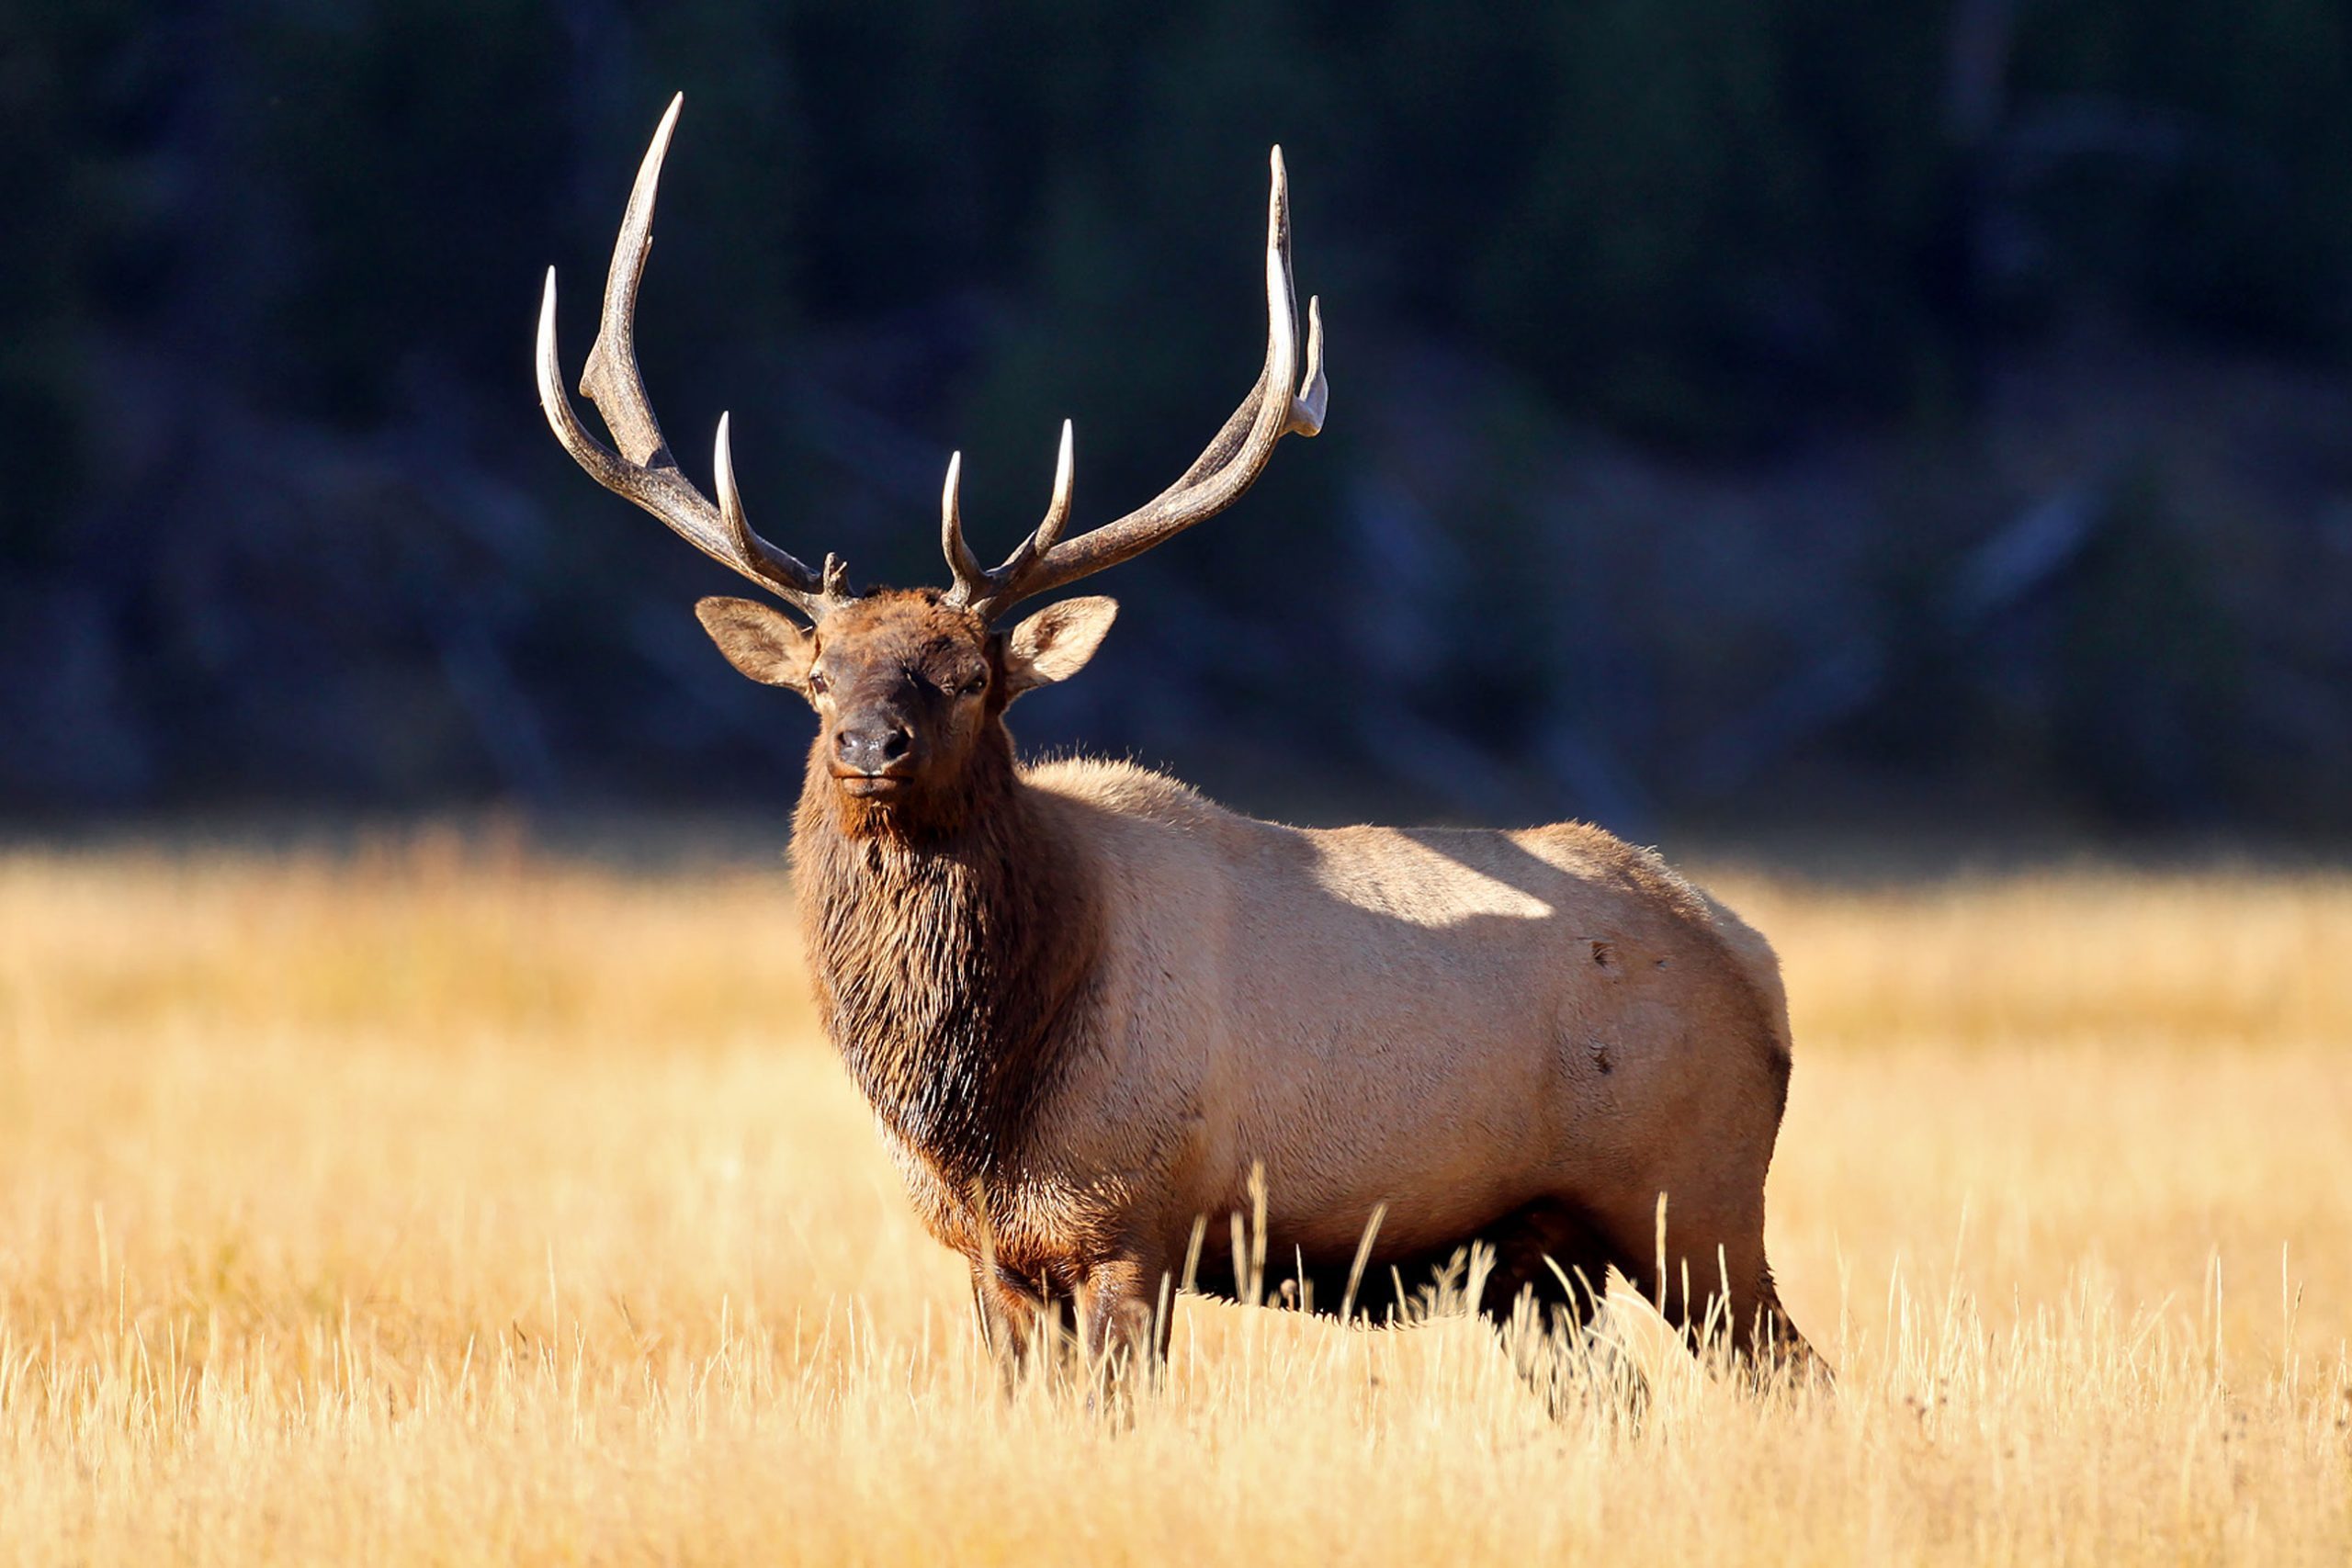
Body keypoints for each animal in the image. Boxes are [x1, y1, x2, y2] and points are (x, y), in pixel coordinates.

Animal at [536, 95, 1825, 1405]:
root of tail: (1754, 964)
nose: (867, 744)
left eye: (970, 679)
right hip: (1535, 1259)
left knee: (1794, 1371)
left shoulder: (1134, 1225)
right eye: (816, 677)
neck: (973, 1103)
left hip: (1694, 1203)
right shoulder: (992, 1256)